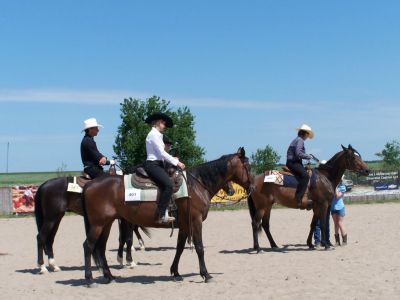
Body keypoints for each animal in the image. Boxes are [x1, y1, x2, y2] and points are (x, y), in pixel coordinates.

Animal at [80, 148, 253, 286]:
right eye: (248, 166)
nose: (251, 187)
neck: (196, 185)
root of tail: (89, 184)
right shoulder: (195, 222)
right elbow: (199, 248)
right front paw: (206, 274)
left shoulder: (185, 225)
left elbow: (180, 248)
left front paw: (175, 273)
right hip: (98, 224)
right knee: (88, 246)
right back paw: (89, 279)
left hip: (106, 223)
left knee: (100, 248)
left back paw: (109, 276)